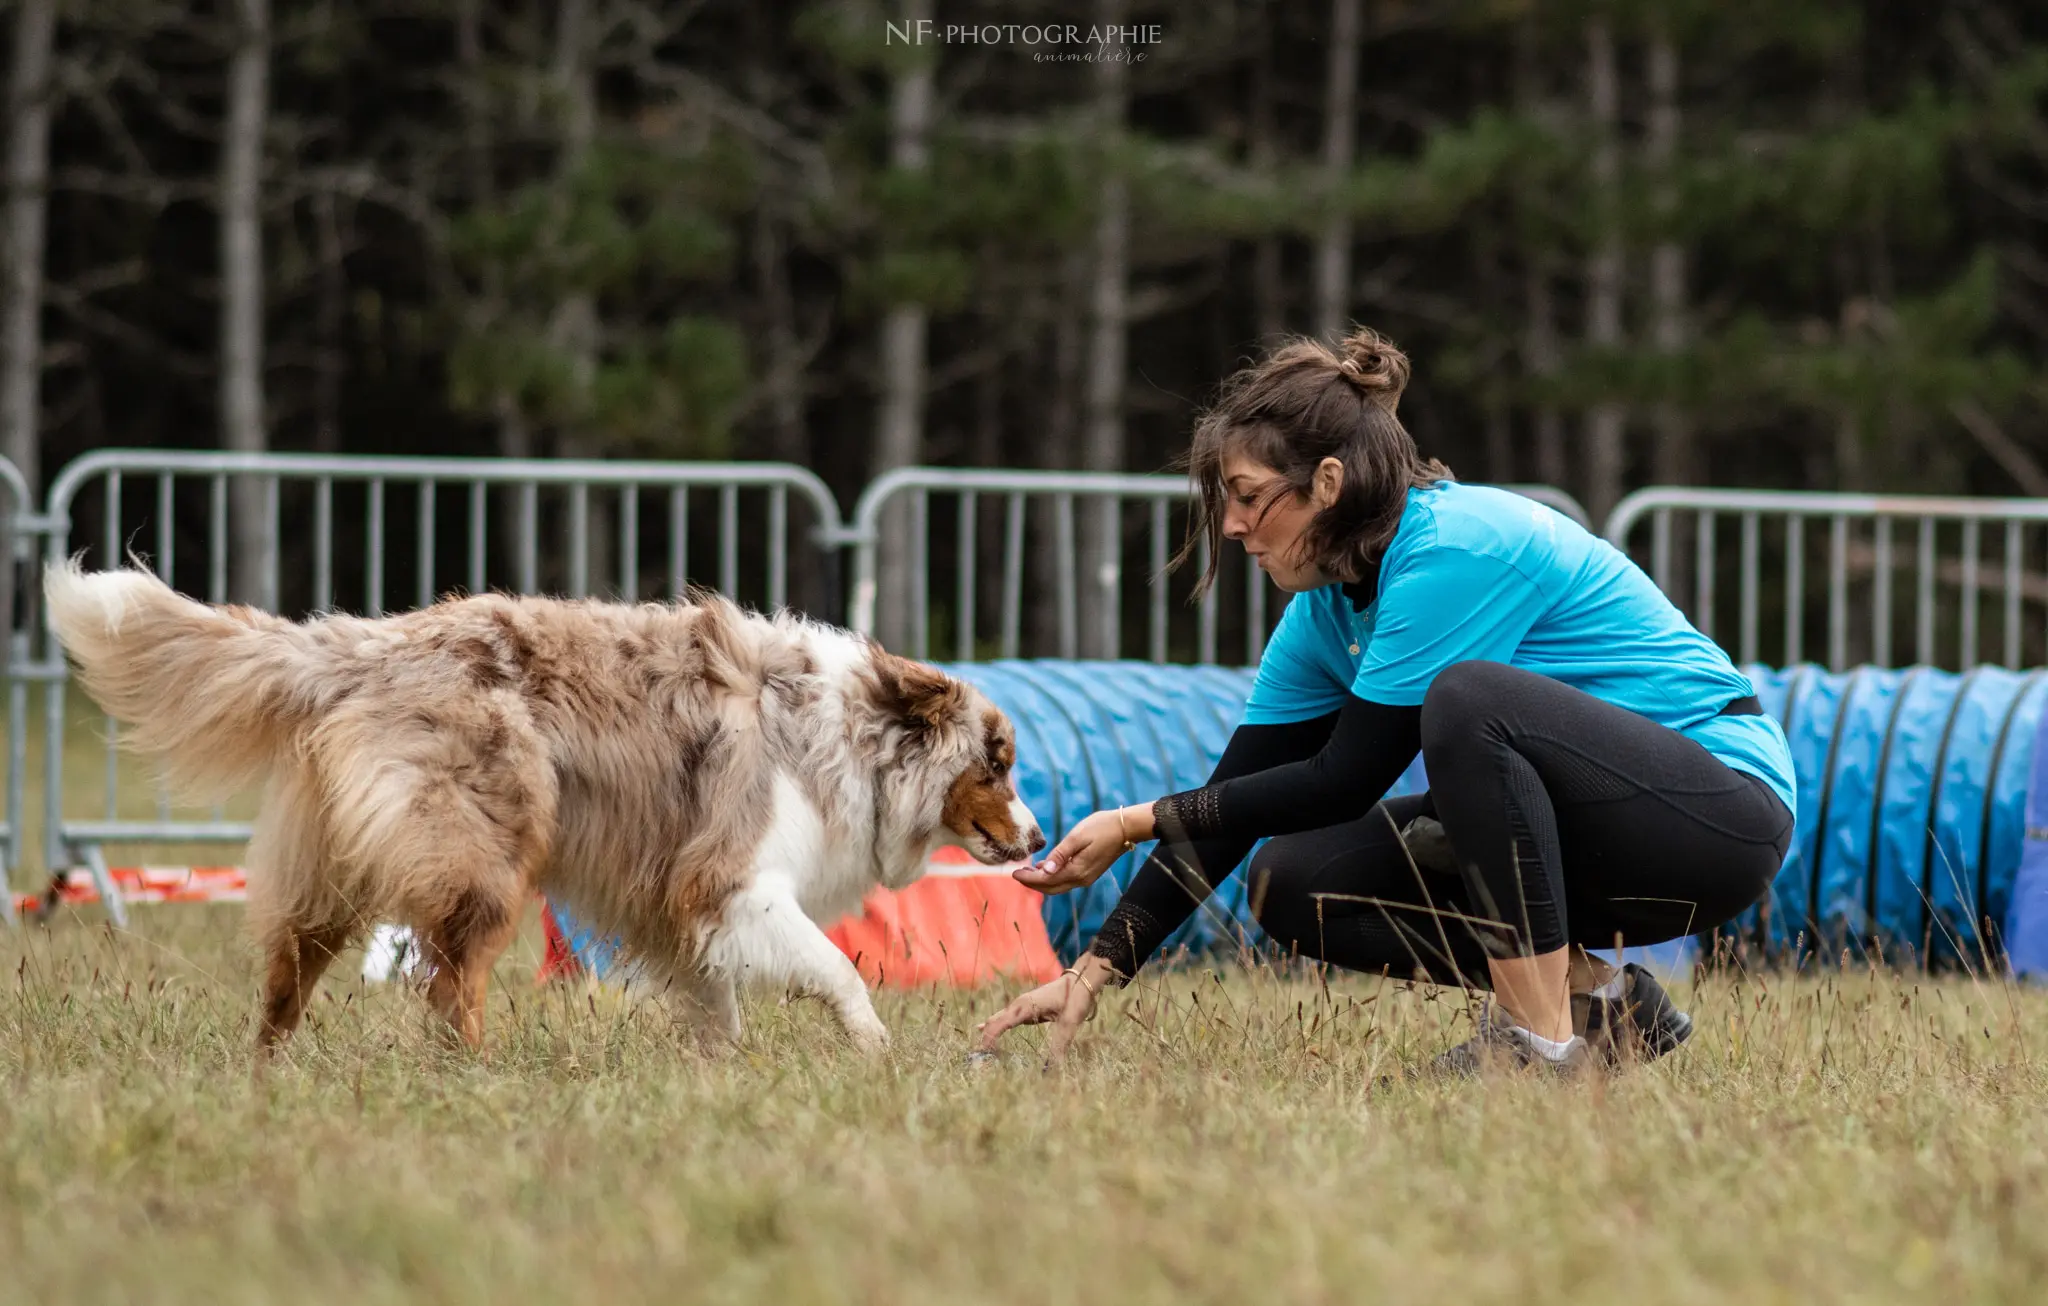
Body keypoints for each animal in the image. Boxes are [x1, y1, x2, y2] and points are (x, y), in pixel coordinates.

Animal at [41, 564, 1048, 1056]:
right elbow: (838, 971)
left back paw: (269, 1074)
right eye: (997, 762)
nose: (1041, 836)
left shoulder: (680, 910)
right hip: (484, 856)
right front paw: (875, 1050)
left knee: (291, 971)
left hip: (334, 864)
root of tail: (368, 647)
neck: (848, 735)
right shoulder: (736, 886)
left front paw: (721, 1075)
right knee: (449, 985)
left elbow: (714, 1004)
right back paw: (476, 1074)